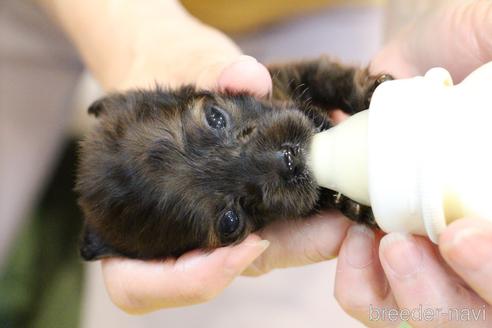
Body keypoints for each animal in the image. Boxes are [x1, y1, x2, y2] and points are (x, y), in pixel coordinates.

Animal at [77, 57, 392, 262]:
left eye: (215, 117)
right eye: (230, 222)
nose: (289, 159)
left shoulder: (285, 74)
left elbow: (326, 76)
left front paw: (371, 92)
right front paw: (354, 204)